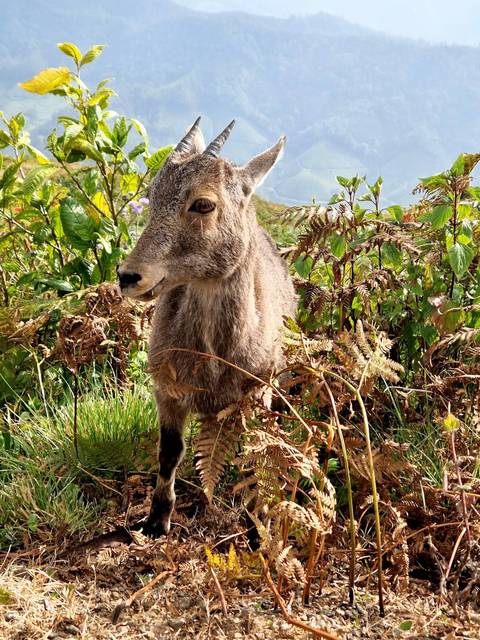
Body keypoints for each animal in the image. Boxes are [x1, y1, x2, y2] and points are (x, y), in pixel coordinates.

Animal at [118, 118, 296, 537]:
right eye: (153, 194)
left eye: (203, 203)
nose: (128, 276)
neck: (214, 360)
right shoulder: (166, 390)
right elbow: (170, 451)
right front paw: (157, 519)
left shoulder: (258, 392)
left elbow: (256, 454)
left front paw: (258, 525)